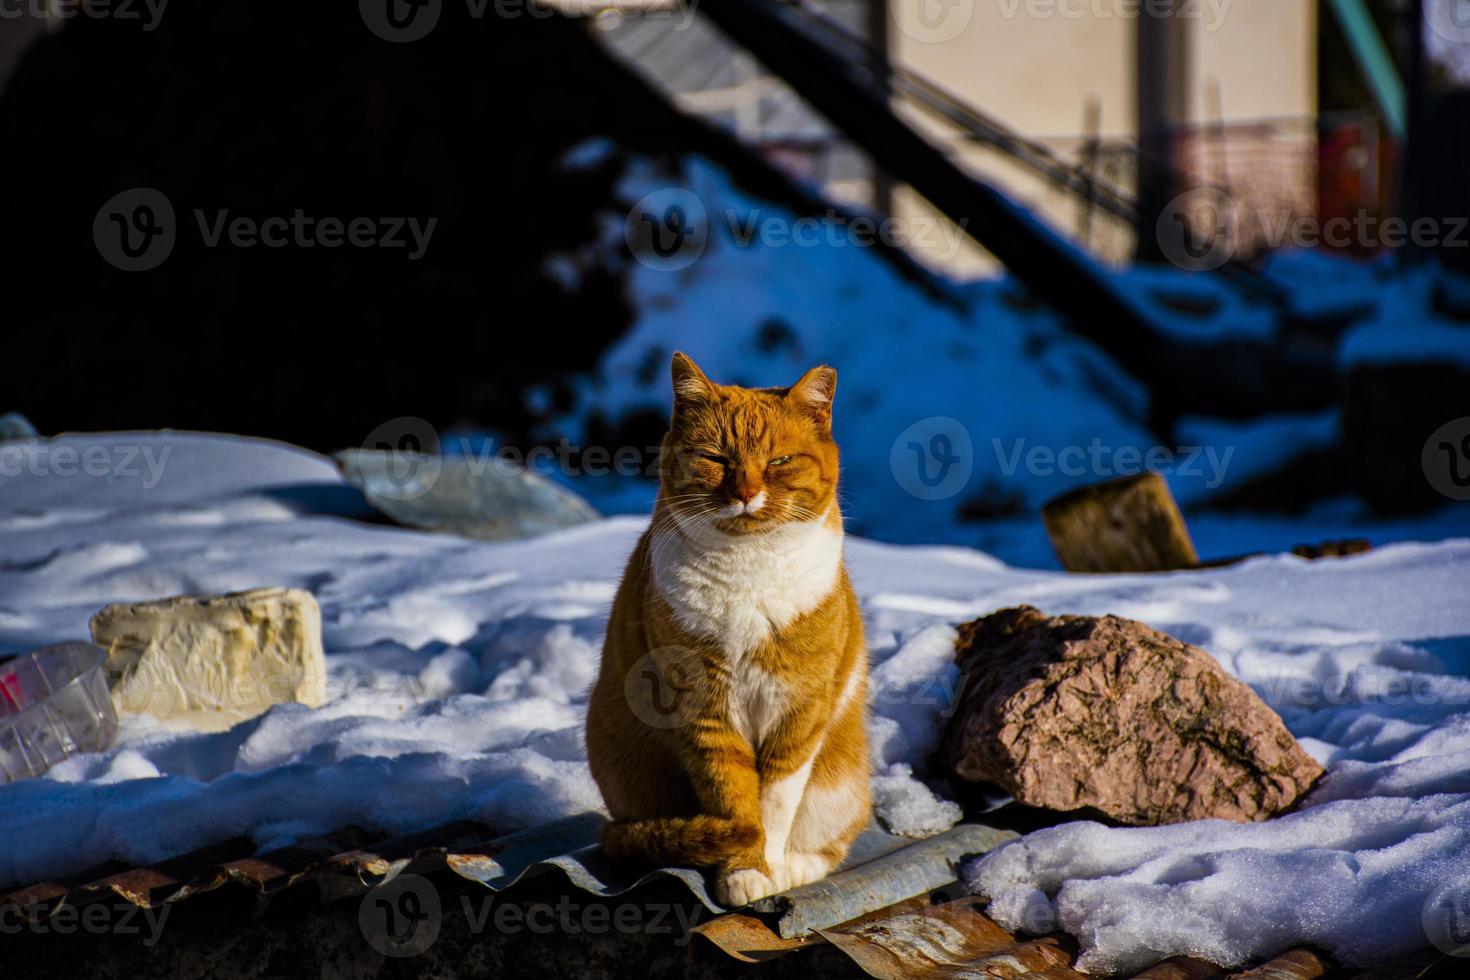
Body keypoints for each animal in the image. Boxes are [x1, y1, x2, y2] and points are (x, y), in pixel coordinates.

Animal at [585, 351, 864, 905]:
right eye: (716, 458)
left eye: (779, 461)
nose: (746, 492)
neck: (747, 572)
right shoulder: (704, 708)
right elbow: (734, 798)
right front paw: (744, 868)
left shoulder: (797, 707)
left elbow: (774, 802)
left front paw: (766, 868)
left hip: (839, 785)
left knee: (829, 843)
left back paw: (795, 866)